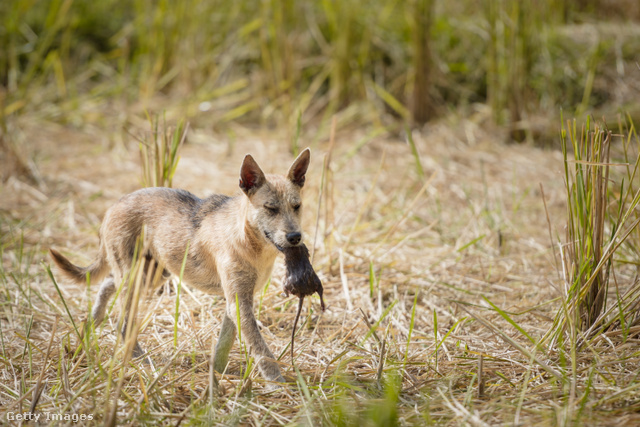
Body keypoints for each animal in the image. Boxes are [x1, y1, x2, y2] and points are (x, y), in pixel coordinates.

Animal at [48, 149, 312, 382]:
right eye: (271, 208)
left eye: (297, 206)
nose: (295, 237)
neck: (248, 240)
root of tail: (114, 206)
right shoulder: (239, 302)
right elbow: (262, 350)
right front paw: (277, 383)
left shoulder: (236, 301)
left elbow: (225, 344)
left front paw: (218, 374)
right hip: (136, 278)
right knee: (123, 322)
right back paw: (140, 361)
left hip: (150, 275)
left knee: (107, 284)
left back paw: (91, 323)